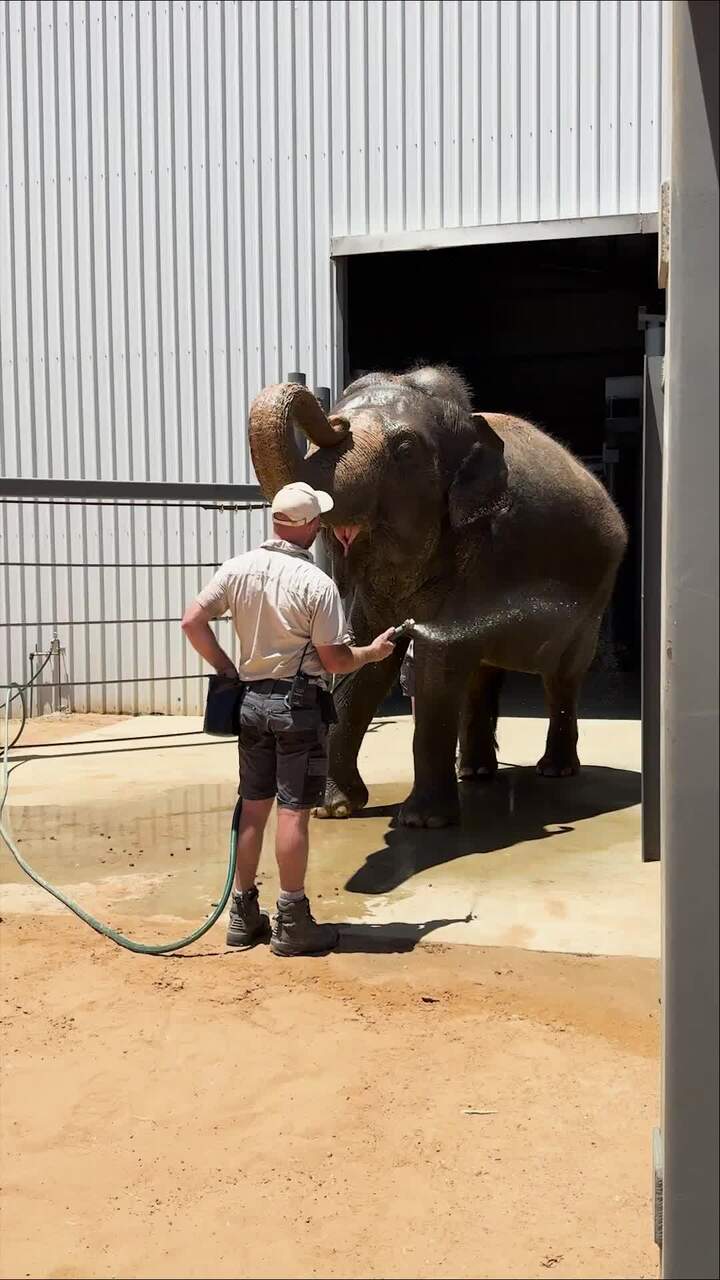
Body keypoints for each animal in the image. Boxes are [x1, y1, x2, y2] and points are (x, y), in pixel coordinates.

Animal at [248, 366, 627, 824]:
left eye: (405, 450)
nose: (335, 422)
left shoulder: (482, 555)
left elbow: (437, 665)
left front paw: (421, 822)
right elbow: (366, 662)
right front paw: (333, 809)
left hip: (595, 593)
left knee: (561, 676)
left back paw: (554, 770)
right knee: (483, 674)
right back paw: (475, 773)